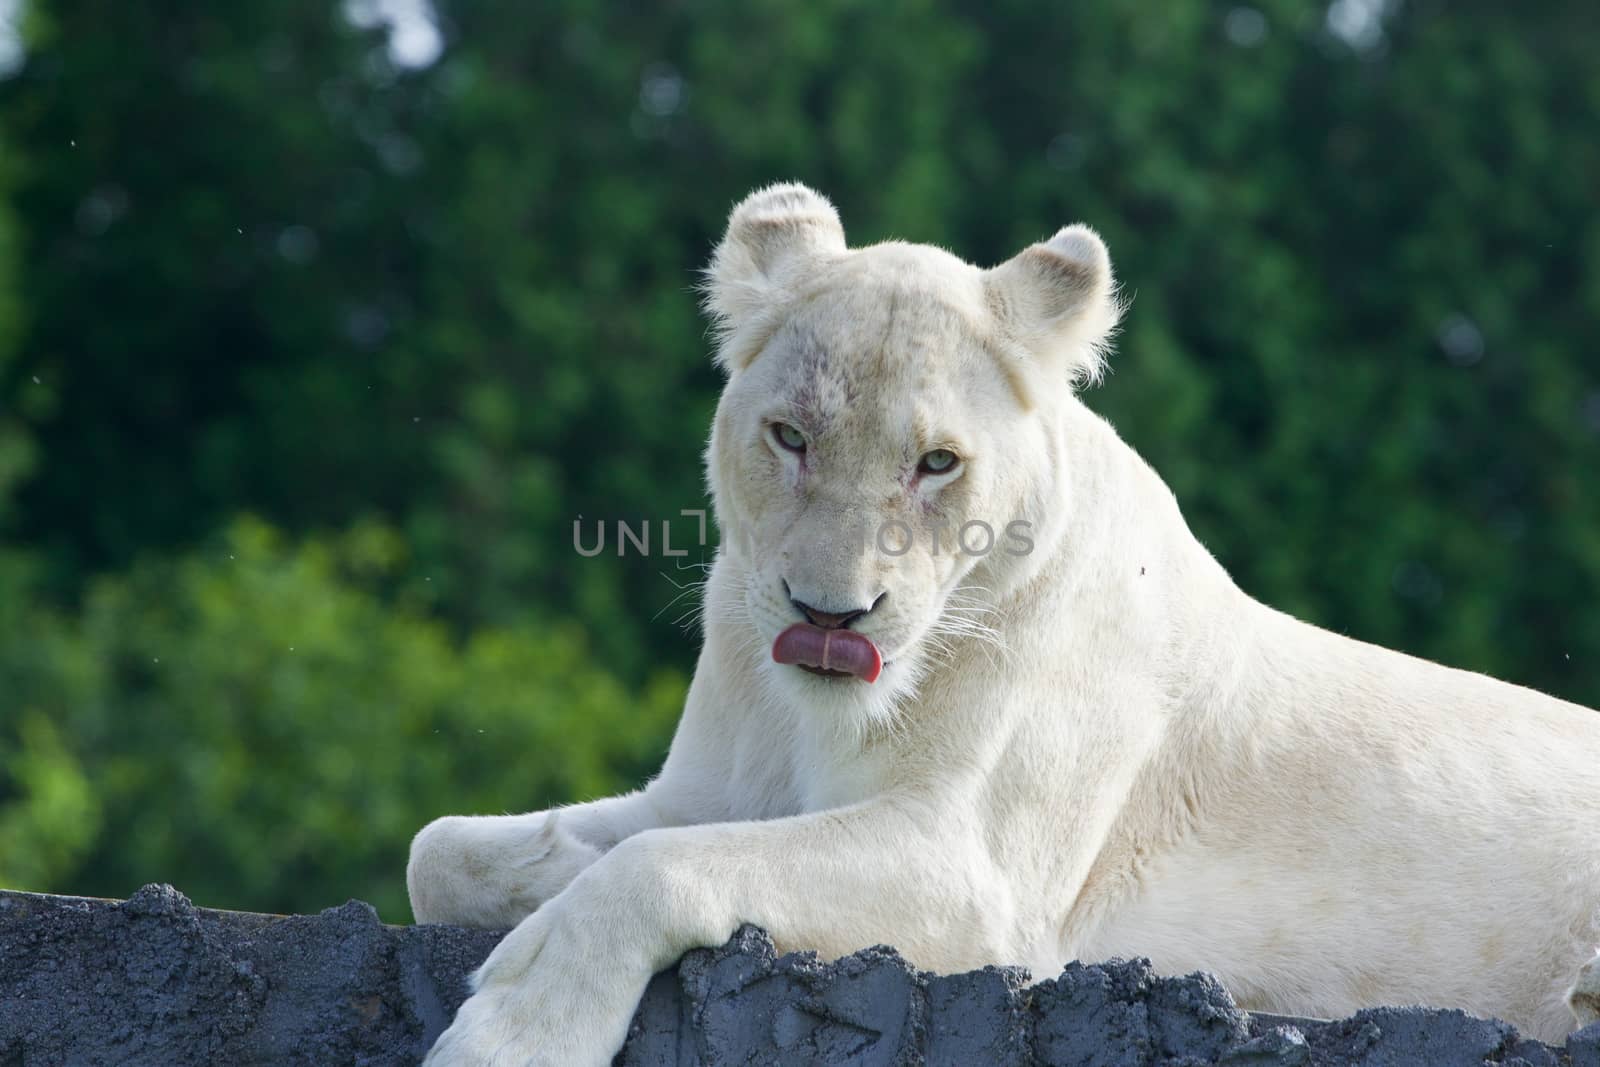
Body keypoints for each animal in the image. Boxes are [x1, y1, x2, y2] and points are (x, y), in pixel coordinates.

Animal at [403, 183, 1600, 1062]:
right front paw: (539, 887)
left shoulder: (976, 874)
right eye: (790, 435)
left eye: (936, 462)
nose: (828, 613)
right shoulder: (702, 789)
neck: (810, 715)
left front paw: (517, 1027)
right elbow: (442, 848)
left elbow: (661, 865)